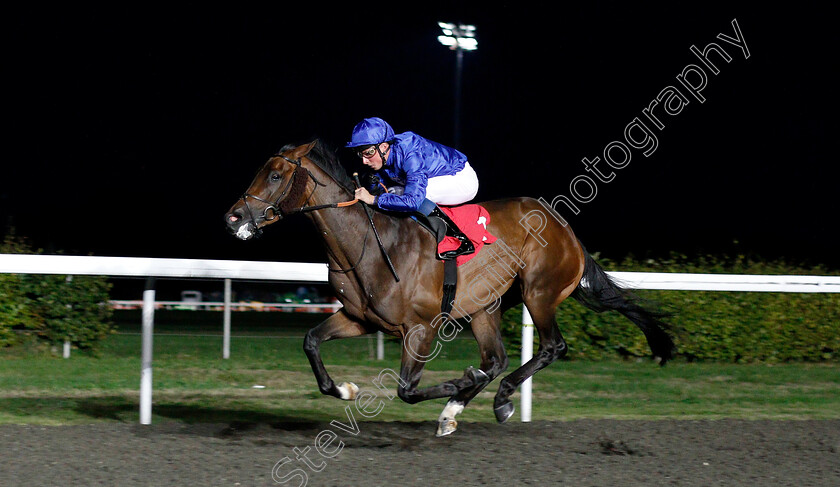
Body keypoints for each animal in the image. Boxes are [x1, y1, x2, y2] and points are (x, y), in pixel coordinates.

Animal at [223, 139, 676, 436]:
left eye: (276, 174)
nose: (233, 217)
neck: (372, 241)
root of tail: (568, 231)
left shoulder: (420, 328)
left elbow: (407, 390)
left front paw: (458, 384)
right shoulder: (360, 318)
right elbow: (311, 342)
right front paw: (346, 389)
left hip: (538, 292)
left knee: (551, 347)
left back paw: (496, 398)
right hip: (485, 307)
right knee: (496, 358)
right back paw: (463, 406)